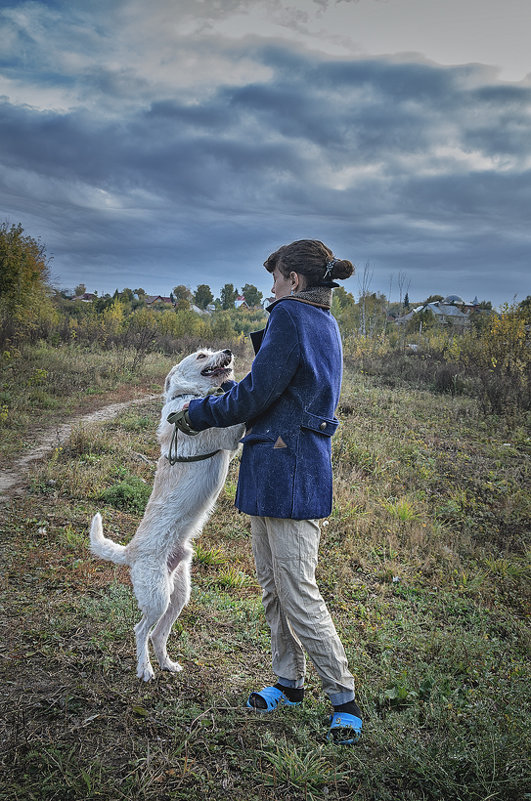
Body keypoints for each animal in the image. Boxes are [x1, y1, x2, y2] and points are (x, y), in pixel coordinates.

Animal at [90, 346, 246, 680]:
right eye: (201, 355)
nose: (227, 351)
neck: (185, 398)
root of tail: (129, 552)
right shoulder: (229, 435)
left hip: (179, 595)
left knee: (159, 634)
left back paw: (166, 663)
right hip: (158, 597)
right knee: (140, 630)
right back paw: (145, 669)